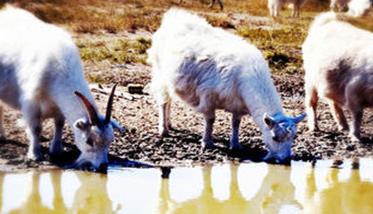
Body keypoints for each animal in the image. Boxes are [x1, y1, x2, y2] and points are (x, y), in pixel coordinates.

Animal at [0, 5, 123, 171]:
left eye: (110, 141)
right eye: (89, 141)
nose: (103, 166)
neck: (59, 68)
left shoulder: (58, 106)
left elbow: (59, 124)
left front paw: (56, 150)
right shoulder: (31, 103)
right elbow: (36, 128)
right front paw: (35, 154)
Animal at [146, 8, 306, 162]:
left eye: (293, 137)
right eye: (274, 137)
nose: (285, 159)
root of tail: (173, 17)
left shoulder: (238, 105)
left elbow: (236, 123)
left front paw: (235, 145)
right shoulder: (208, 97)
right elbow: (210, 120)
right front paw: (207, 142)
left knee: (169, 101)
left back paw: (169, 124)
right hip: (160, 73)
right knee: (164, 102)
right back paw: (163, 129)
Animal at [302, 11, 372, 142]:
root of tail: (327, 21)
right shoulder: (353, 91)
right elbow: (357, 115)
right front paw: (355, 137)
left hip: (330, 82)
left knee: (333, 103)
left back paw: (343, 126)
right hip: (311, 80)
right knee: (311, 103)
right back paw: (314, 127)